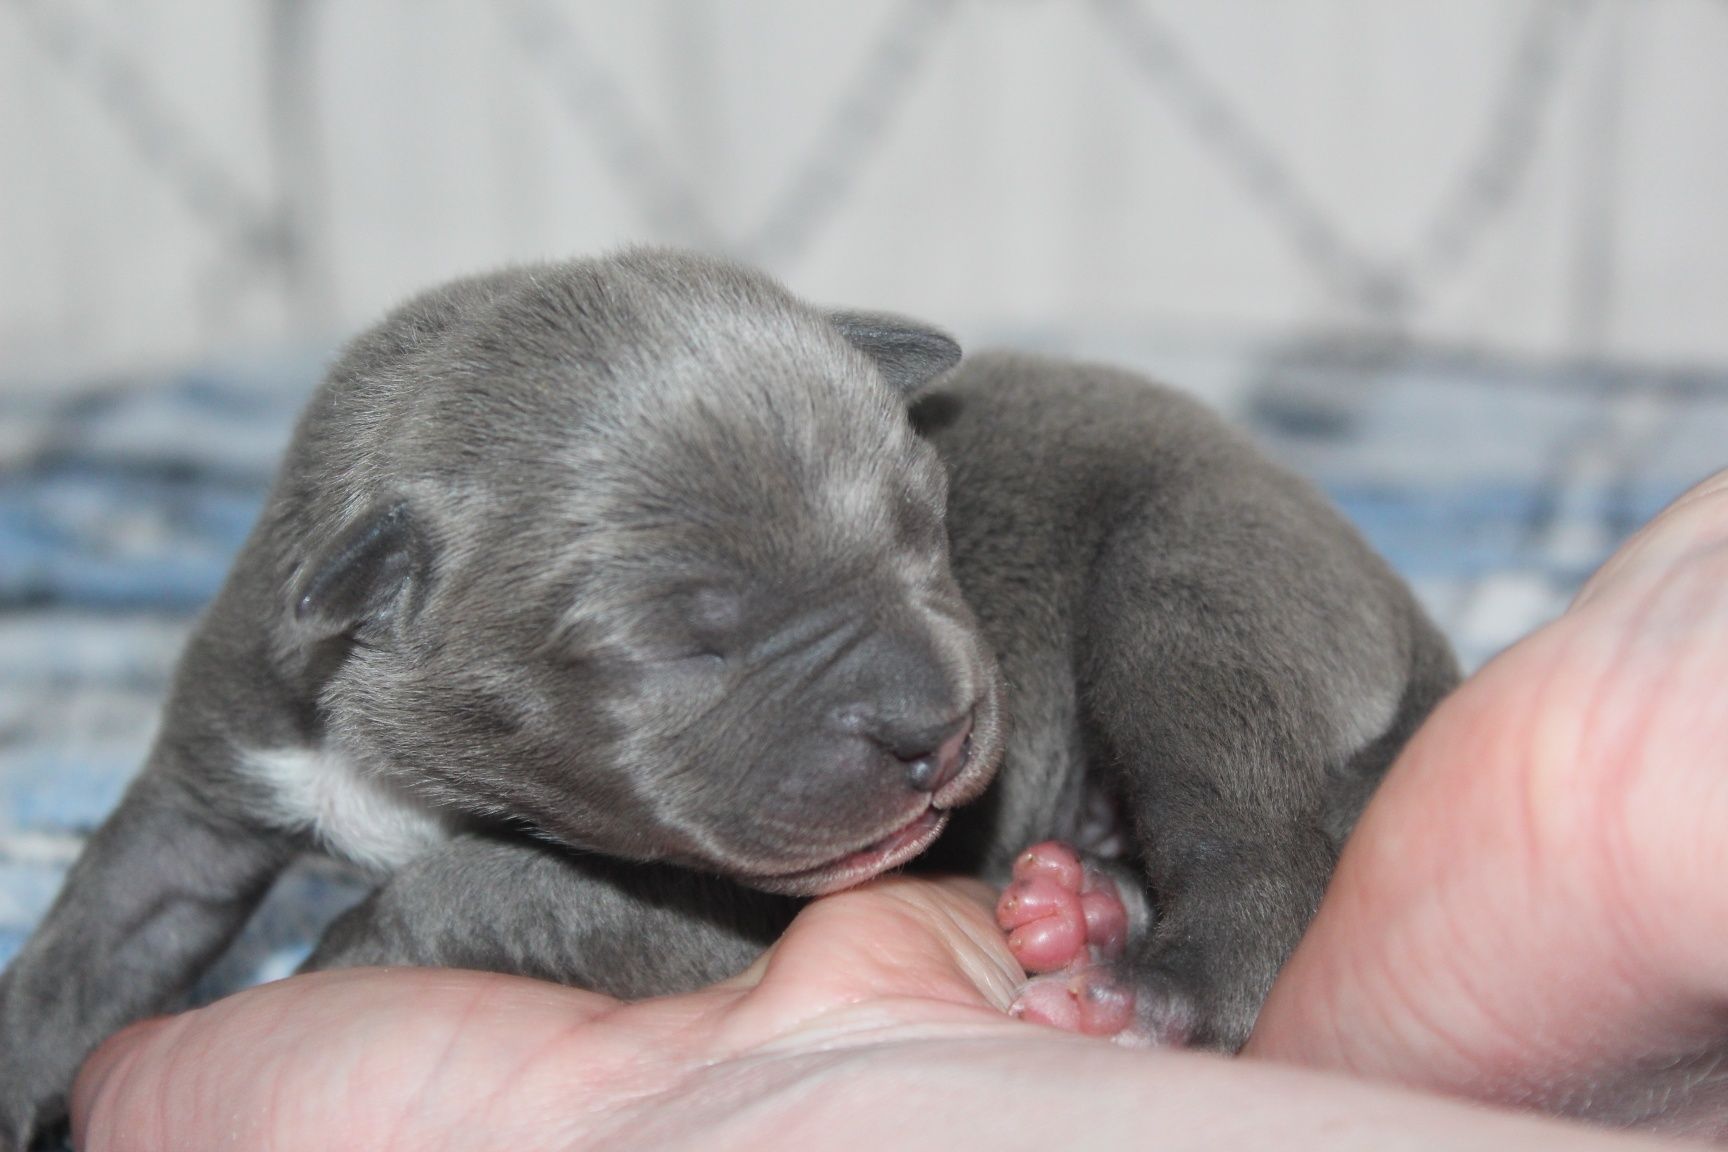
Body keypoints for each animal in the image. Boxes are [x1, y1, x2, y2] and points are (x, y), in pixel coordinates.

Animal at [0, 248, 1458, 1146]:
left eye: (929, 524)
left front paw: (331, 957)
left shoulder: (705, 915)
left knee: (1254, 839)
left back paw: (1159, 987)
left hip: (1194, 584)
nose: (935, 730)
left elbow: (472, 889)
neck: (409, 754)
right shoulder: (221, 761)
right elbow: (99, 929)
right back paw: (1082, 900)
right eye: (685, 645)